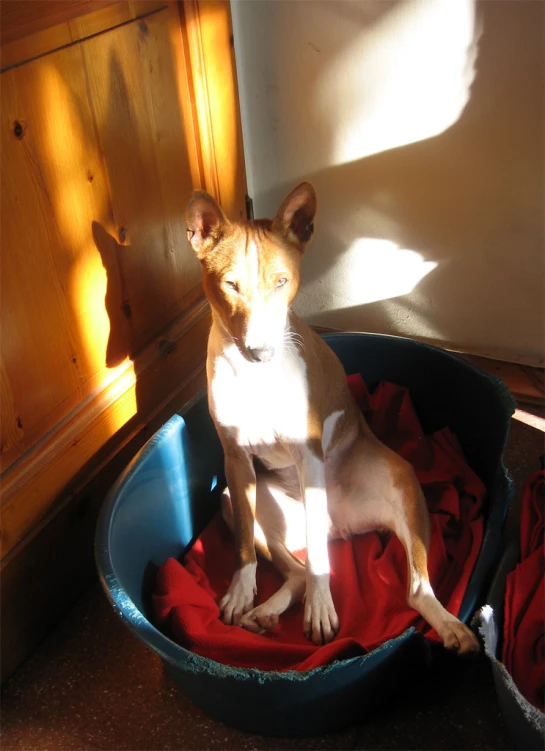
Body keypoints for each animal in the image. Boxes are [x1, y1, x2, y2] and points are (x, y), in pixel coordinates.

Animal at [187, 182, 480, 652]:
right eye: (230, 284)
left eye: (282, 281)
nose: (261, 352)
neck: (256, 380)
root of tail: (340, 525)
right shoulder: (236, 460)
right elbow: (245, 548)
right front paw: (241, 589)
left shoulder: (308, 455)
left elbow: (320, 565)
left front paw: (322, 609)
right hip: (238, 501)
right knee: (296, 572)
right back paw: (265, 611)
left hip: (402, 482)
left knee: (413, 588)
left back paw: (449, 625)